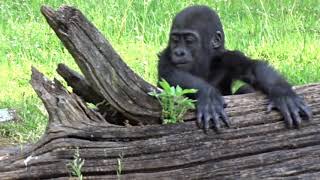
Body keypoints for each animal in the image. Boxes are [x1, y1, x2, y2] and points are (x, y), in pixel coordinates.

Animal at [158, 4, 312, 131]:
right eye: (175, 40)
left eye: (189, 41)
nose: (178, 52)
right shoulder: (166, 55)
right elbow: (169, 75)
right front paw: (208, 94)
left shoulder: (230, 57)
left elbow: (251, 67)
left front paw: (283, 93)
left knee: (245, 88)